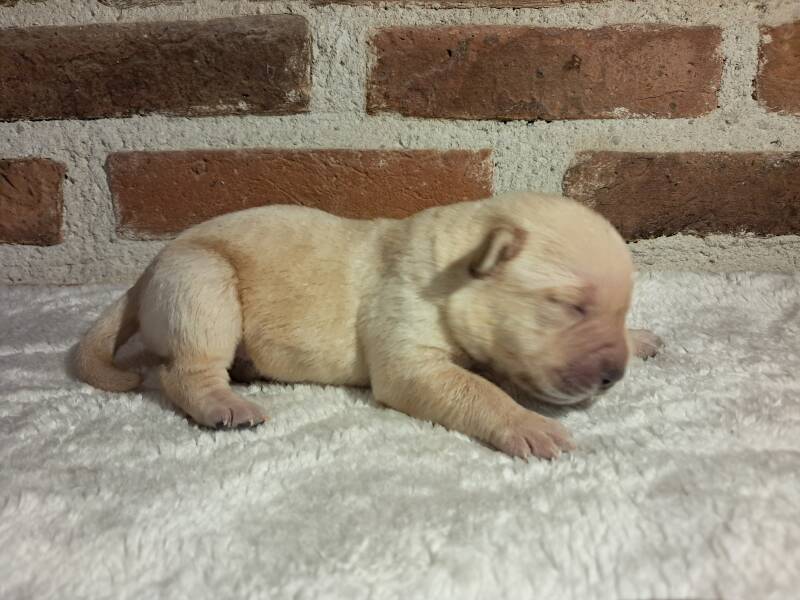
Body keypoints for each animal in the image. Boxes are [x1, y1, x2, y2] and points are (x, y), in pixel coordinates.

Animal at [77, 191, 661, 459]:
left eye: (619, 309)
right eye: (569, 306)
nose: (612, 376)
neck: (453, 268)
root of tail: (145, 274)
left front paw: (638, 337)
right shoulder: (410, 357)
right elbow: (476, 389)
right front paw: (529, 424)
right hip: (201, 284)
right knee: (183, 371)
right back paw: (225, 404)